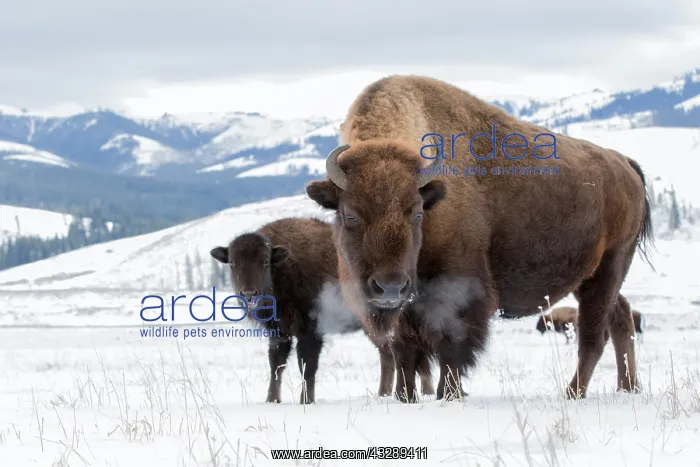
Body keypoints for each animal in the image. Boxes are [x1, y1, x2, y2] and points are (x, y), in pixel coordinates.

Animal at [210, 217, 434, 404]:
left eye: (265, 262)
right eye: (232, 263)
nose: (248, 294)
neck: (283, 267)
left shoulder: (310, 331)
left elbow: (307, 366)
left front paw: (306, 401)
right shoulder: (278, 333)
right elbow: (276, 365)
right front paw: (272, 400)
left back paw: (422, 392)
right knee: (389, 354)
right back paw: (386, 394)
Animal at [305, 74, 654, 402]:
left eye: (416, 213)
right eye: (349, 214)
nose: (389, 287)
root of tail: (626, 165)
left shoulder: (458, 289)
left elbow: (450, 346)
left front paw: (449, 395)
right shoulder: (406, 307)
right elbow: (405, 352)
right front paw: (406, 397)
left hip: (610, 266)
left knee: (593, 336)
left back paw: (572, 394)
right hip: (593, 277)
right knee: (620, 318)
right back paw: (628, 387)